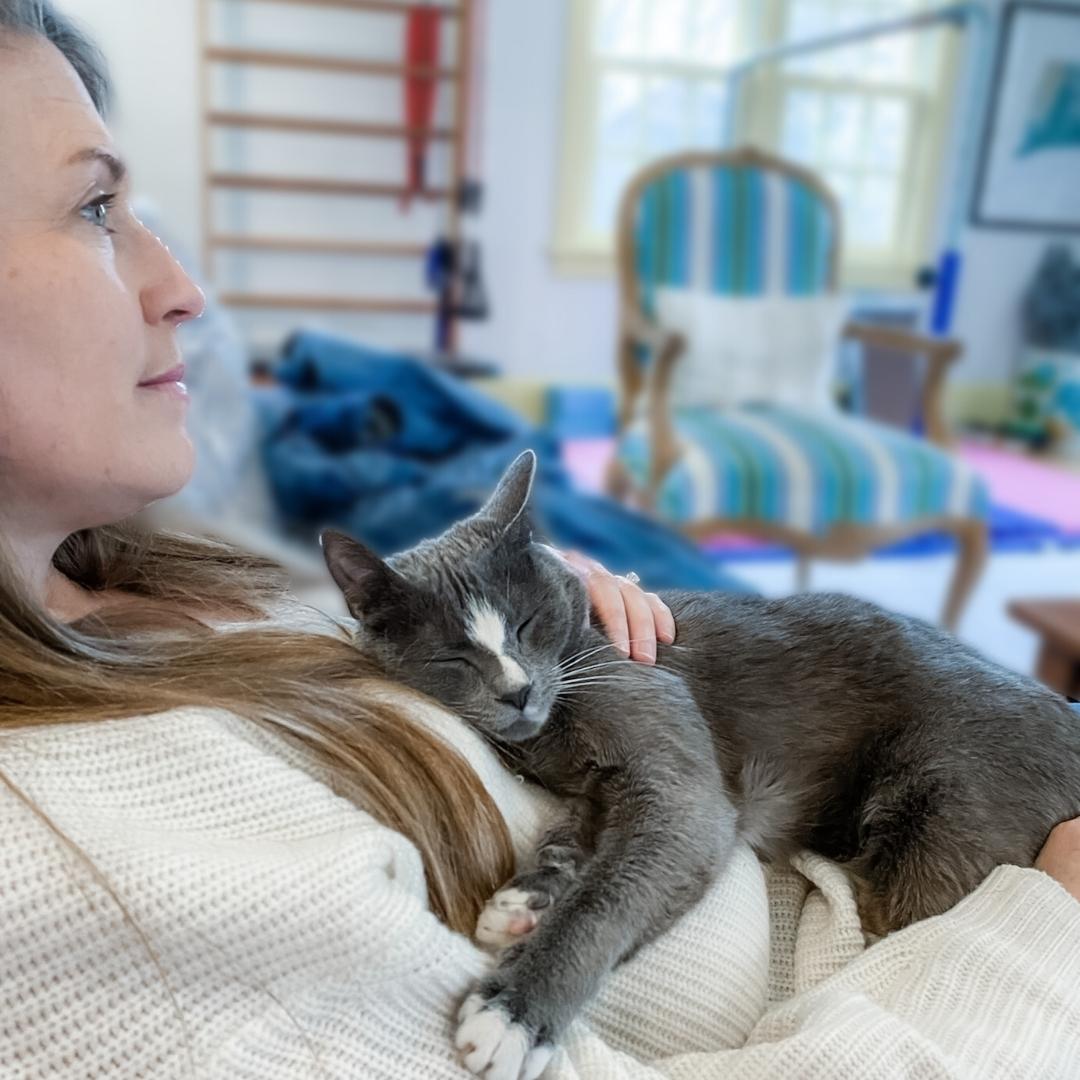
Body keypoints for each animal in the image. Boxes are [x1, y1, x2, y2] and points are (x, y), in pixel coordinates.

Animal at [319, 447, 1080, 1080]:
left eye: (528, 625)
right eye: (452, 658)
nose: (517, 690)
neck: (554, 720)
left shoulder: (681, 789)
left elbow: (608, 894)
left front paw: (512, 1014)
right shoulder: (599, 788)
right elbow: (573, 837)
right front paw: (524, 900)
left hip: (939, 826)